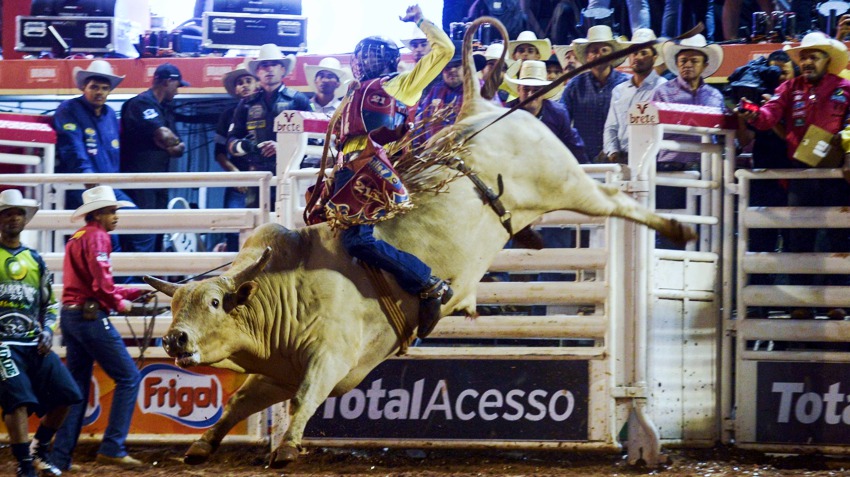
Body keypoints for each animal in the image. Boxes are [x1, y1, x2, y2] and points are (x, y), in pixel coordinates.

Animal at [142, 16, 692, 466]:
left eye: (215, 302)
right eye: (176, 307)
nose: (174, 339)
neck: (284, 290)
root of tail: (481, 105)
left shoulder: (330, 358)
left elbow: (305, 398)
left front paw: (287, 448)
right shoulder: (276, 371)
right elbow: (239, 400)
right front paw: (202, 445)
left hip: (565, 181)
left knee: (615, 200)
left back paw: (676, 228)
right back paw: (535, 237)